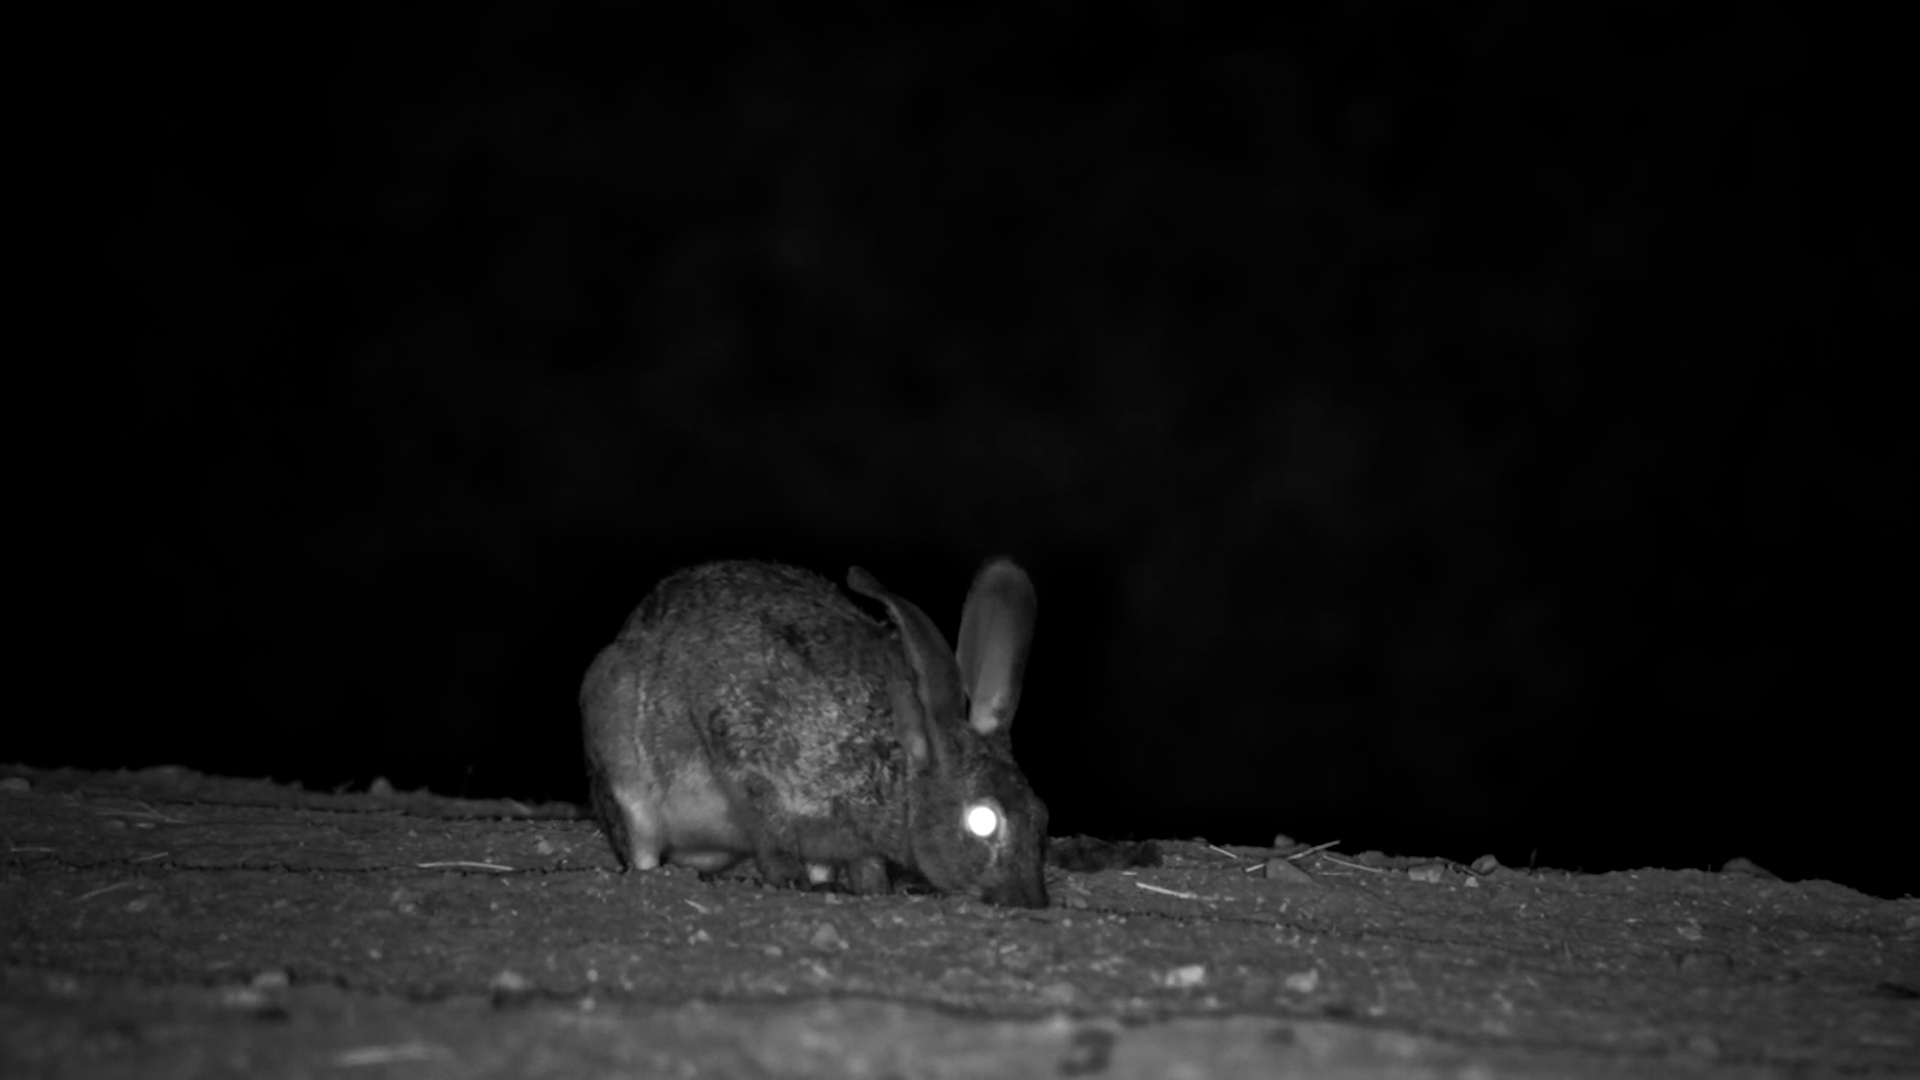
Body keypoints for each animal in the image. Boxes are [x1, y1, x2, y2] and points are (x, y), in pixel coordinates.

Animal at [580, 557, 1048, 907]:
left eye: (1042, 815)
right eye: (982, 820)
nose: (1030, 900)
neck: (897, 770)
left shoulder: (845, 843)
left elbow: (855, 862)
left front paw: (866, 889)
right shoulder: (748, 750)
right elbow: (771, 831)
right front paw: (790, 880)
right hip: (624, 772)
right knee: (640, 845)